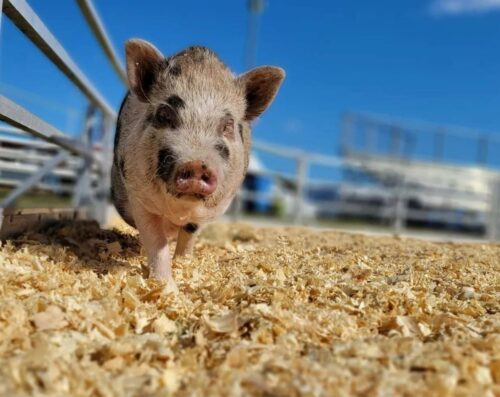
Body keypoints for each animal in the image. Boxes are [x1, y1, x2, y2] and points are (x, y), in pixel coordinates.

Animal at [111, 38, 286, 280]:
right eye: (164, 114)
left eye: (228, 125)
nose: (196, 164)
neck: (178, 210)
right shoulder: (139, 197)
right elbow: (155, 243)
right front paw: (166, 284)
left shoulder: (210, 210)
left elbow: (189, 235)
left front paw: (183, 263)